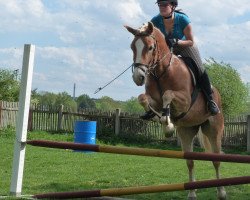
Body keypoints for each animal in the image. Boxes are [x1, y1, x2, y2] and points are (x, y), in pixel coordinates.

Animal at [125, 21, 227, 199]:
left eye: (150, 47)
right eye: (132, 47)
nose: (138, 77)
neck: (162, 72)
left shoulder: (185, 101)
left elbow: (168, 94)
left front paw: (167, 123)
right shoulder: (154, 100)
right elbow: (143, 98)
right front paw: (158, 118)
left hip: (214, 129)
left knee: (216, 160)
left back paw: (221, 191)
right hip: (187, 131)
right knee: (190, 161)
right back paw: (192, 193)